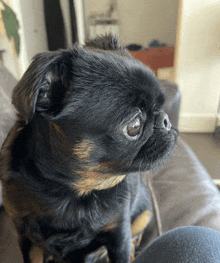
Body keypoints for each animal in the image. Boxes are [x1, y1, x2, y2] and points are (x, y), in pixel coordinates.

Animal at [0, 35, 177, 263]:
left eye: (161, 106)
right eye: (134, 126)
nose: (165, 120)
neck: (70, 192)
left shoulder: (119, 233)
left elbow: (124, 245)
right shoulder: (28, 240)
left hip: (144, 213)